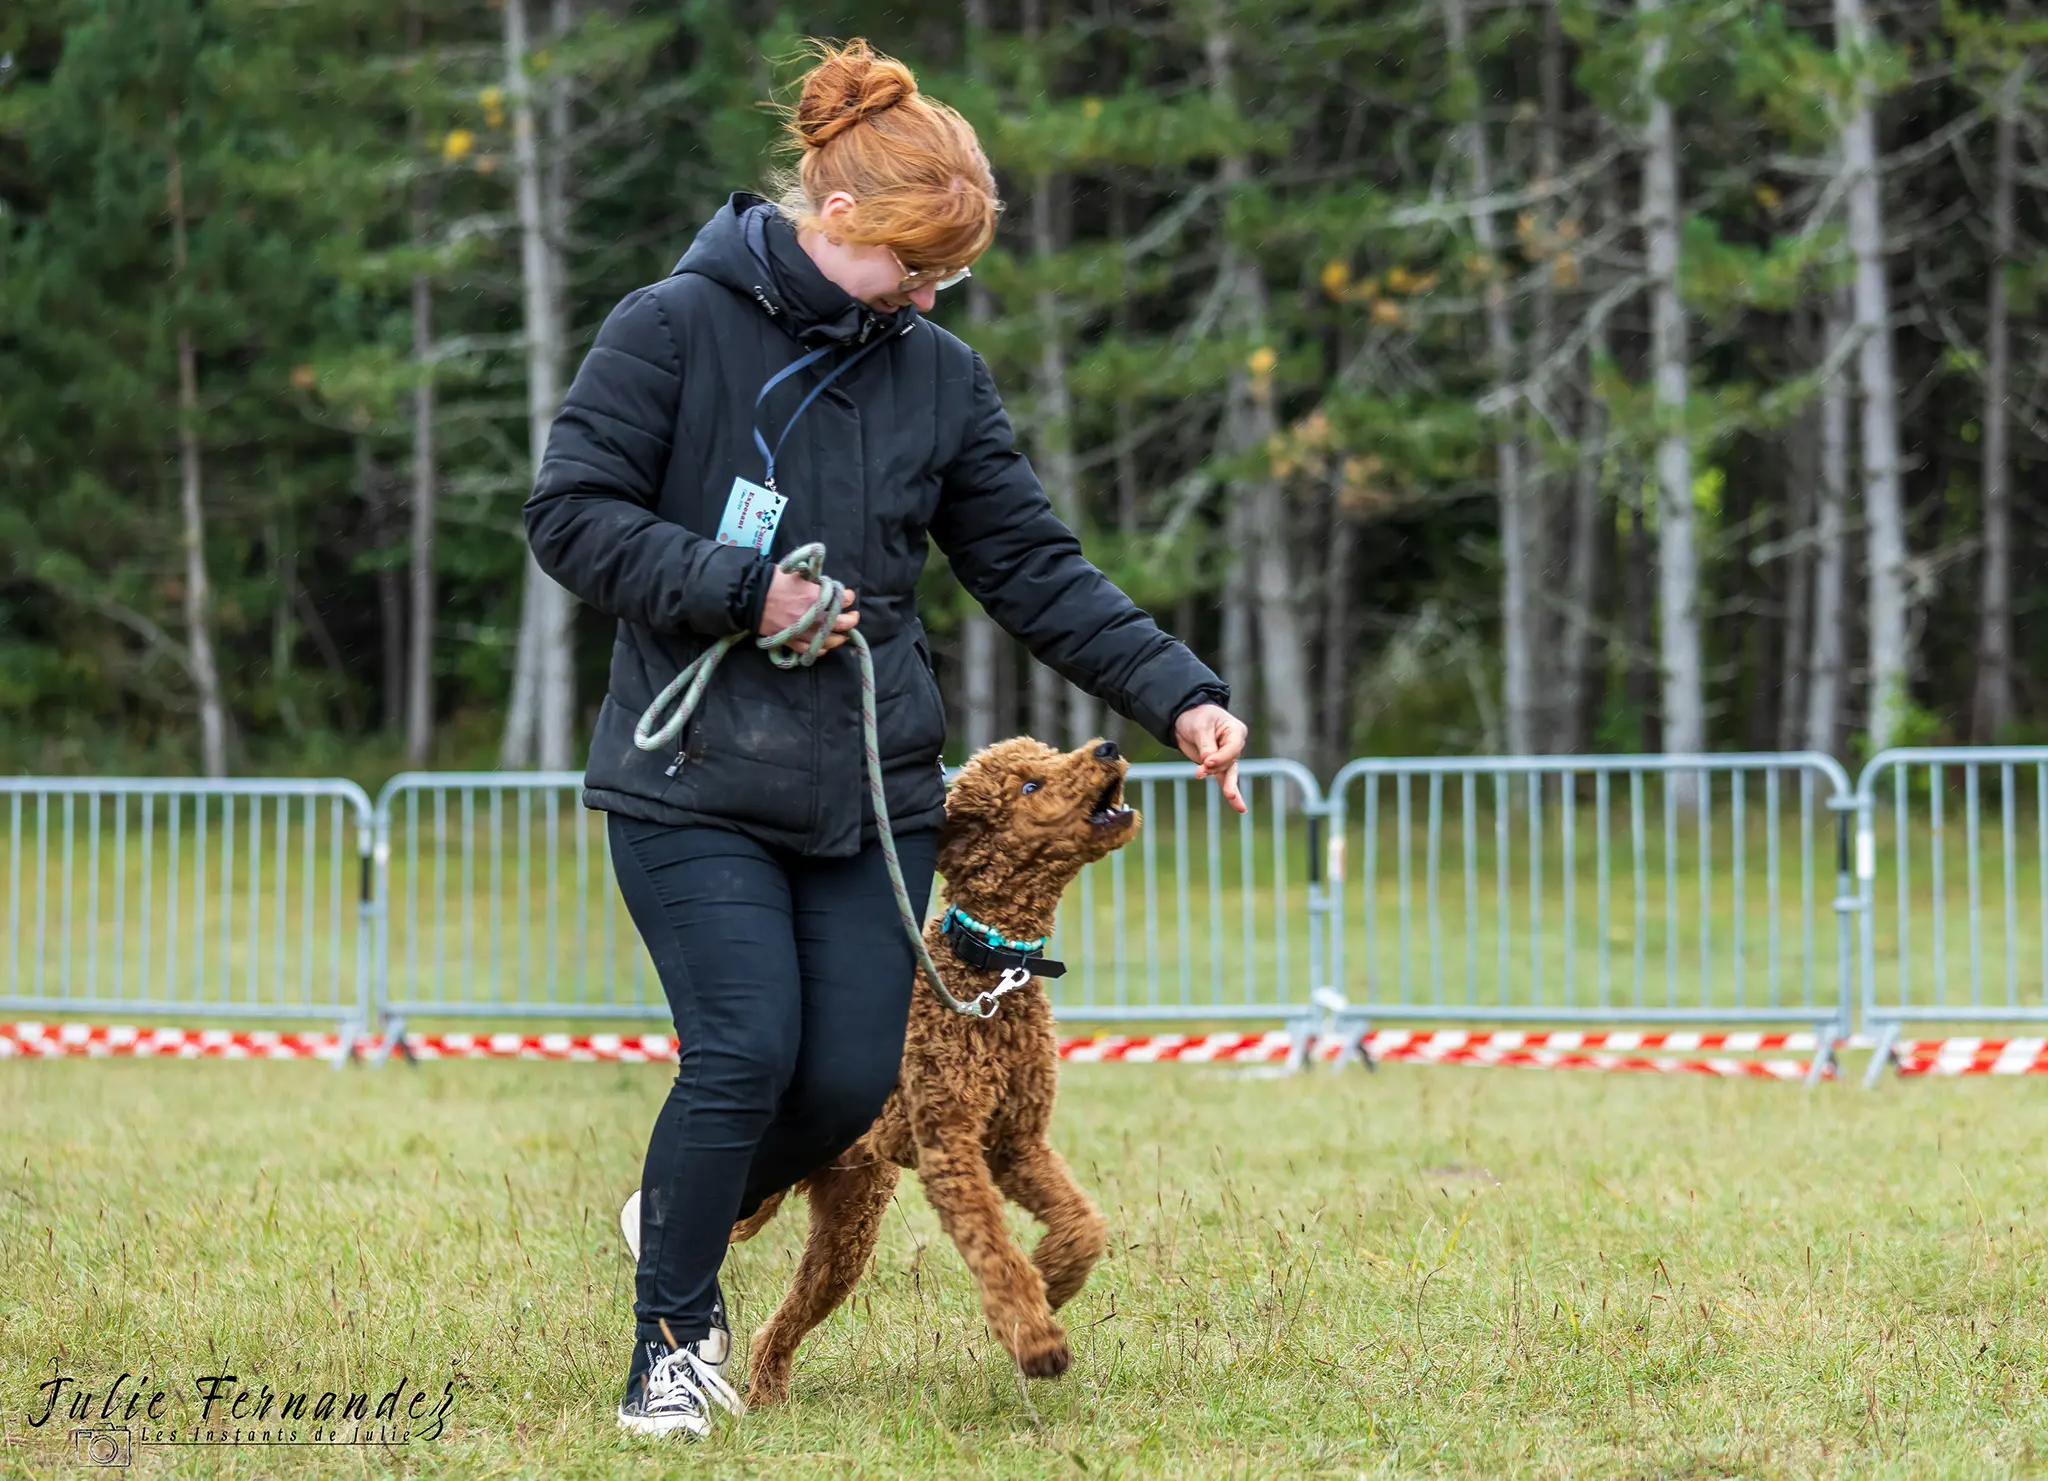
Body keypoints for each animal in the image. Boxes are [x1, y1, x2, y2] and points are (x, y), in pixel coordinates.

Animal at [733, 737, 1138, 1409]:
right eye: (1029, 785)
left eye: (1051, 755)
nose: (1108, 746)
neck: (988, 971)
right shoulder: (952, 1144)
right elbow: (992, 1248)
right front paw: (1035, 1338)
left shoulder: (1017, 1143)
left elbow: (1084, 1224)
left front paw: (1053, 1279)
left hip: (849, 1225)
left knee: (787, 1315)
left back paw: (765, 1392)